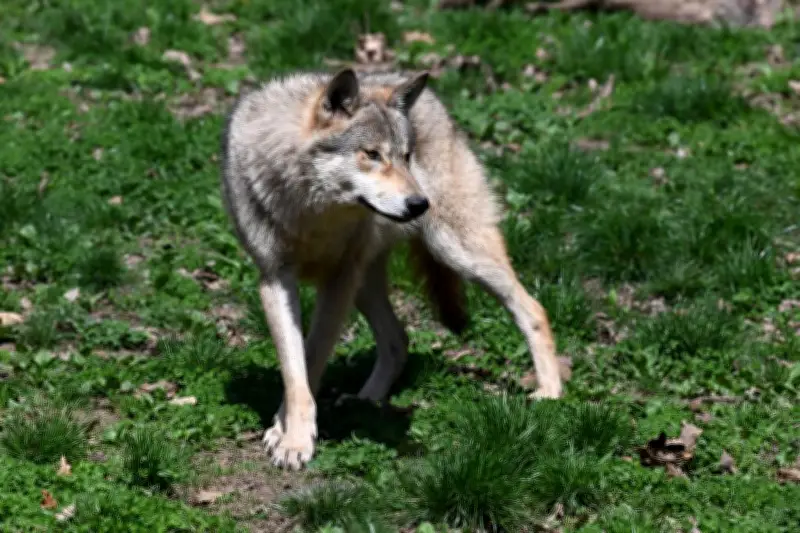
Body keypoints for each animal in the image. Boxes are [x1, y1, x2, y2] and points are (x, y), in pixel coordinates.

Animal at [219, 68, 563, 470]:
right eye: (372, 154)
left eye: (405, 156)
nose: (420, 204)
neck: (312, 213)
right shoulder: (276, 280)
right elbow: (295, 369)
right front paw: (288, 432)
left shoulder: (337, 281)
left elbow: (313, 356)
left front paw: (291, 436)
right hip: (366, 286)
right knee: (399, 340)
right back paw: (365, 400)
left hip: (456, 252)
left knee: (534, 309)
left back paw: (550, 391)